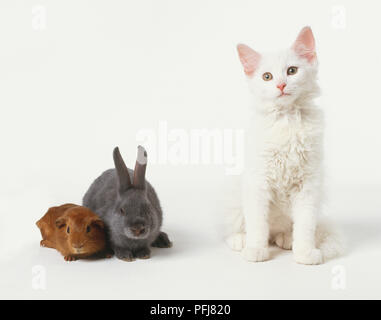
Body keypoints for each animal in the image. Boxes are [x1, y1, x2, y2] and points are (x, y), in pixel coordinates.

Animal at [227, 26, 342, 264]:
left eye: (292, 71)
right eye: (267, 77)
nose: (281, 85)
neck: (287, 118)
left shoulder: (309, 184)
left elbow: (305, 225)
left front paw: (305, 252)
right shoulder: (258, 181)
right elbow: (257, 224)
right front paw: (255, 249)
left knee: (284, 229)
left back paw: (286, 238)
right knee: (240, 226)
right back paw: (240, 239)